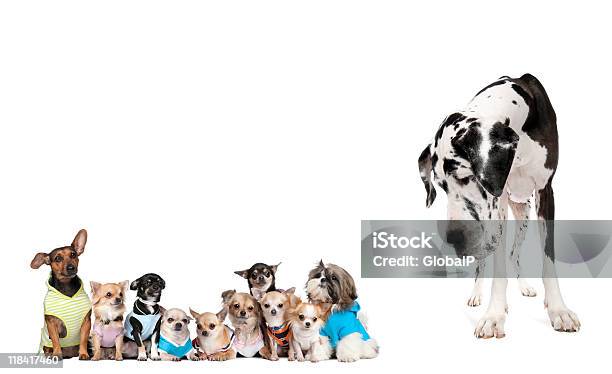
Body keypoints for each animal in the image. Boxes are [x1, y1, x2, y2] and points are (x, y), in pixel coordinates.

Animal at [418, 74, 580, 338]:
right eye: (441, 186)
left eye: (466, 177)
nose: (452, 238)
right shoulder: (497, 204)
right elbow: (497, 266)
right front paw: (494, 314)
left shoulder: (545, 191)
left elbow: (548, 258)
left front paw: (558, 309)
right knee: (486, 259)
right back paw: (477, 293)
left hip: (523, 214)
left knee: (514, 253)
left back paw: (524, 287)